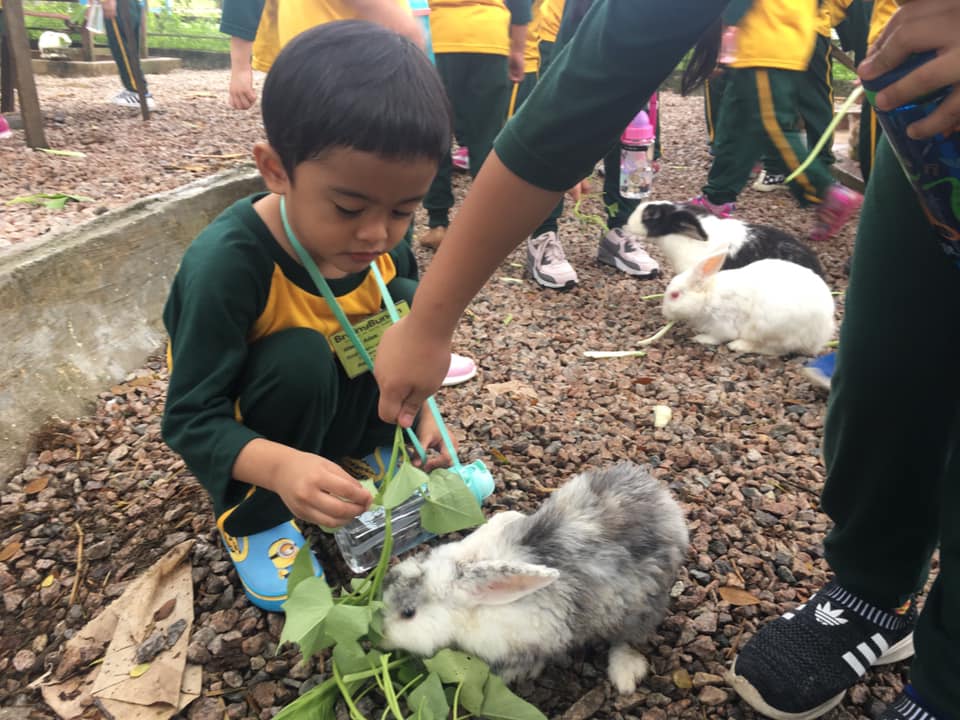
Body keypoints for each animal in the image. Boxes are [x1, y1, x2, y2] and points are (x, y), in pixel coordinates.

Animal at [378, 464, 688, 696]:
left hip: (640, 607)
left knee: (626, 640)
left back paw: (624, 677)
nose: (380, 638)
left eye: (409, 613)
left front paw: (509, 676)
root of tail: (669, 510)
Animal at [664, 246, 836, 356]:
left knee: (775, 350)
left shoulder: (722, 324)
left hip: (772, 329)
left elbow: (718, 337)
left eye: (675, 295)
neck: (708, 296)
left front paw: (700, 338)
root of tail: (820, 337)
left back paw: (738, 346)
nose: (664, 313)